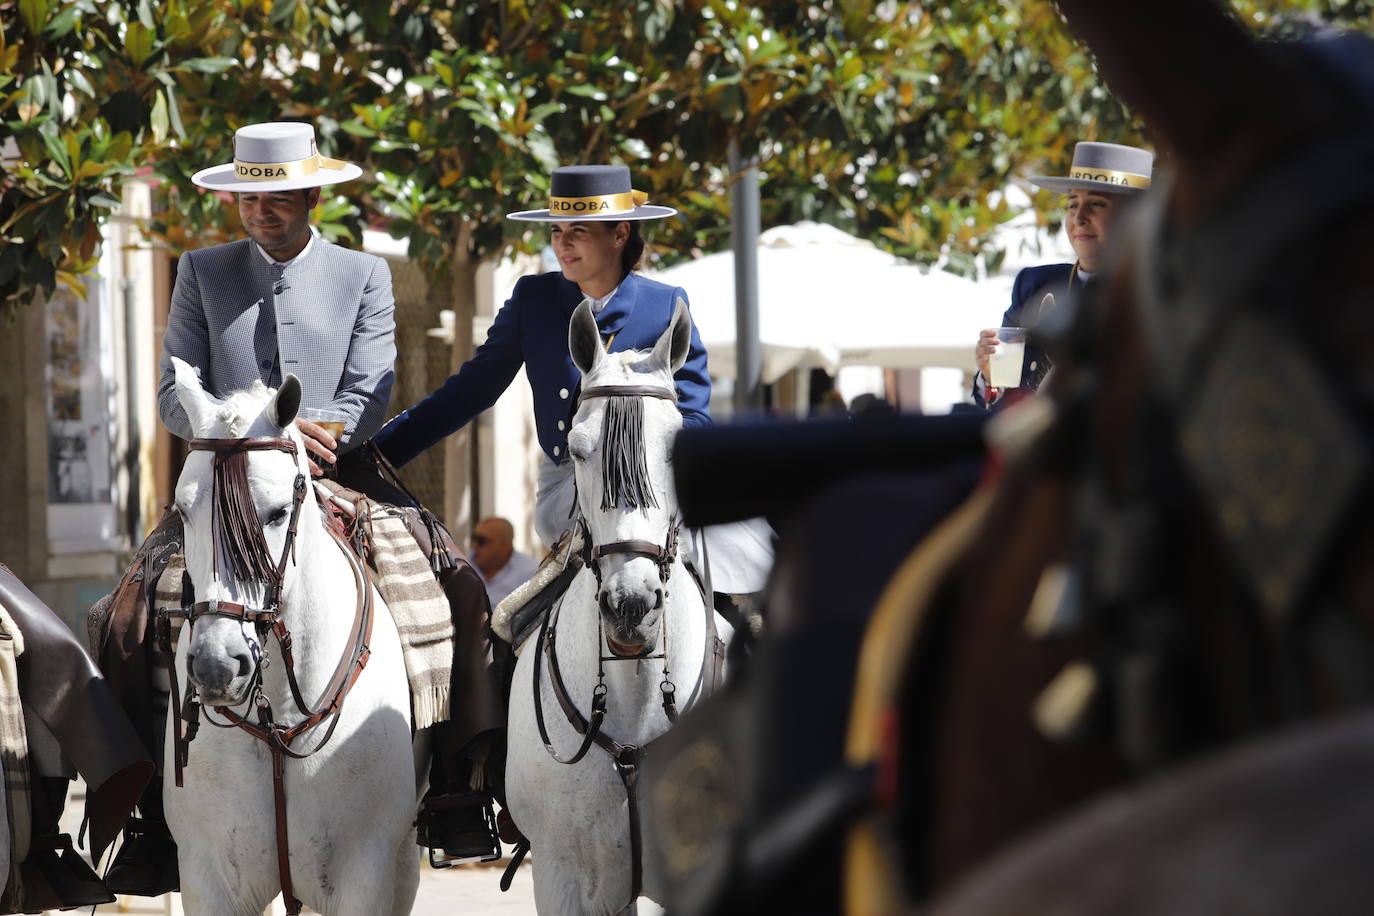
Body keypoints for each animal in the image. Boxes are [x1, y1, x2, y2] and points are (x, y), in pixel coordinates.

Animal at [164, 357, 417, 916]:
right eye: (183, 511)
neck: (277, 715)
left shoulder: (367, 870)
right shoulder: (207, 876)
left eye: (279, 512)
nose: (217, 667)